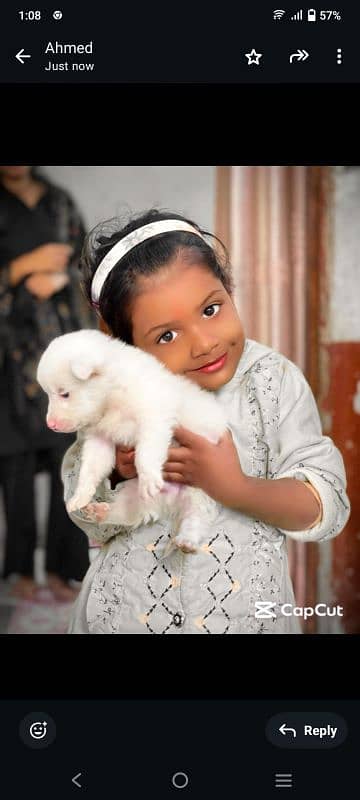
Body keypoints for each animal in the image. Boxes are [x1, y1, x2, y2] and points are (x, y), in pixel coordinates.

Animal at [36, 328, 228, 552]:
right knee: (123, 514)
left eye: (64, 394)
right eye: (49, 394)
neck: (111, 395)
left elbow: (145, 454)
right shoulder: (100, 439)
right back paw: (100, 512)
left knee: (195, 518)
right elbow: (90, 470)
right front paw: (80, 496)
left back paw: (186, 541)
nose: (51, 425)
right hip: (131, 497)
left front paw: (149, 479)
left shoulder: (153, 419)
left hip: (200, 490)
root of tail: (171, 501)